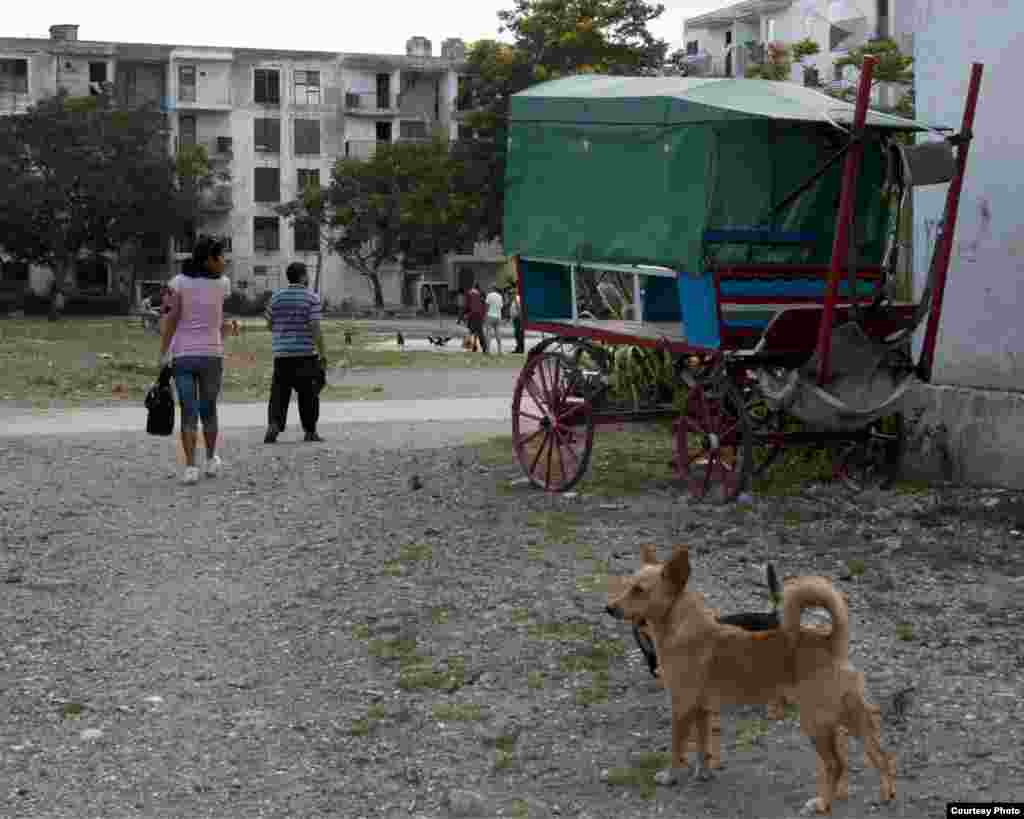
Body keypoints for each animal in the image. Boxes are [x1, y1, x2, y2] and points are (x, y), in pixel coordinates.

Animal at [606, 544, 897, 810]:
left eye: (639, 590)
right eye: (628, 586)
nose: (608, 608)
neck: (681, 628)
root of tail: (829, 641)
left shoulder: (682, 708)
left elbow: (678, 748)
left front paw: (670, 776)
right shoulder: (701, 710)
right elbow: (702, 747)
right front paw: (703, 774)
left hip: (815, 722)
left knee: (836, 764)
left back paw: (822, 803)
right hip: (846, 717)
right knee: (878, 754)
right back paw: (883, 794)